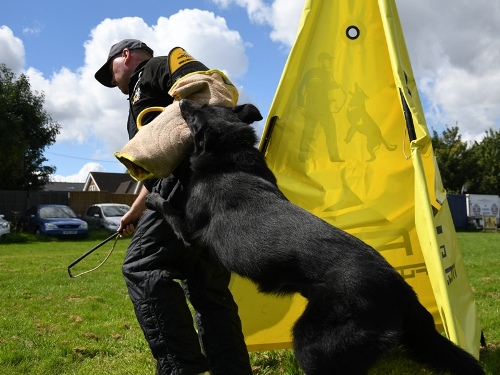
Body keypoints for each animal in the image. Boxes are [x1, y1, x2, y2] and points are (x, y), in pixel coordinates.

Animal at [146, 100, 484, 375]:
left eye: (196, 113)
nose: (182, 100)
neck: (229, 151)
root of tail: (402, 292)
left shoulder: (190, 232)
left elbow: (169, 209)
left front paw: (153, 196)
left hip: (313, 342)